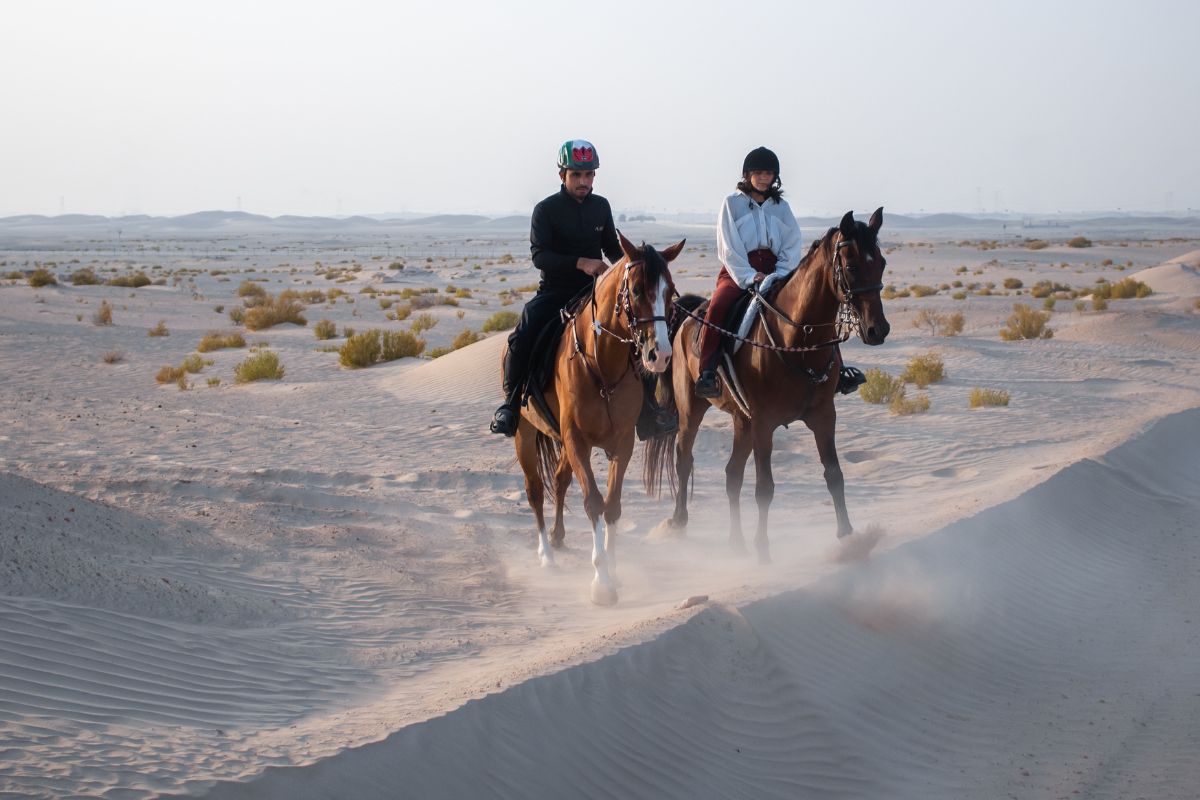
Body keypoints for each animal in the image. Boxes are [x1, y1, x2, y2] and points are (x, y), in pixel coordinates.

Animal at [508, 235, 686, 604]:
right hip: (525, 434)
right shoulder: (577, 440)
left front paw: (613, 571)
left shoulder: (622, 442)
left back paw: (559, 537)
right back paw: (546, 555)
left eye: (671, 292)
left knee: (559, 480)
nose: (660, 355)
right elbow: (593, 503)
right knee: (535, 491)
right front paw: (601, 583)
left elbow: (612, 506)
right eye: (636, 290)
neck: (603, 366)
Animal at [662, 209, 888, 566]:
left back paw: (736, 542)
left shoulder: (823, 417)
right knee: (684, 458)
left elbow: (834, 475)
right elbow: (764, 488)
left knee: (732, 474)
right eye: (851, 266)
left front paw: (848, 535)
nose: (878, 330)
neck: (796, 341)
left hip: (742, 420)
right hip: (692, 409)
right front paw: (763, 548)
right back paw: (679, 521)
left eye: (881, 263)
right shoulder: (764, 423)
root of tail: (687, 317)